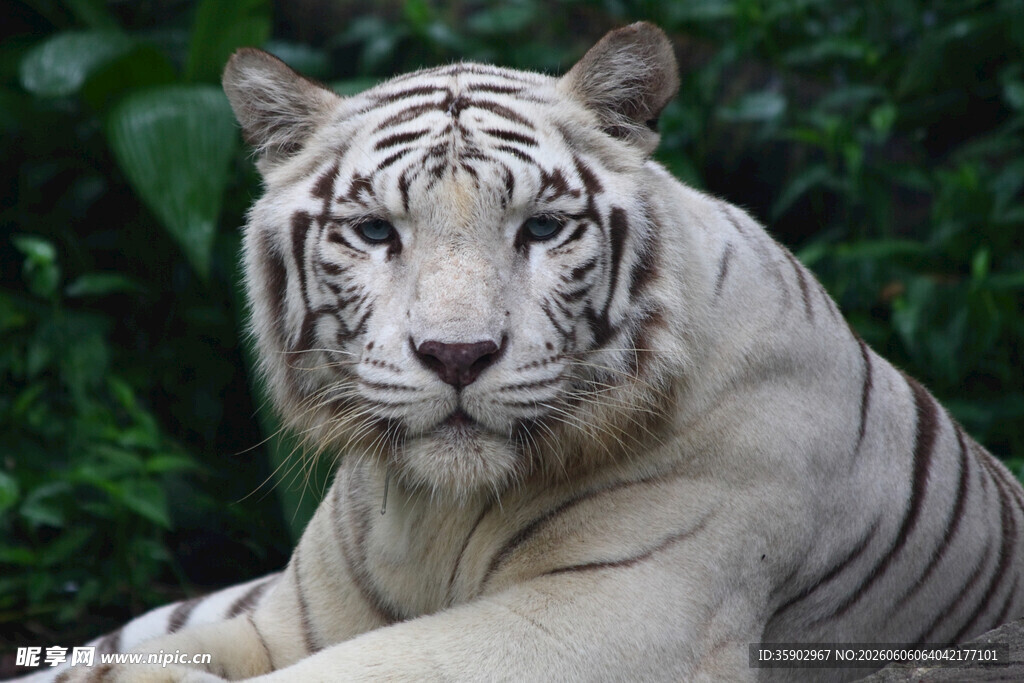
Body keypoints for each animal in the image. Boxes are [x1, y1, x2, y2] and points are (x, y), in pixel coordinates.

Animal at [28, 21, 1023, 683]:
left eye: (541, 227)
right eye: (375, 231)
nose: (457, 354)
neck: (431, 512)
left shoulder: (613, 614)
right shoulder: (286, 614)